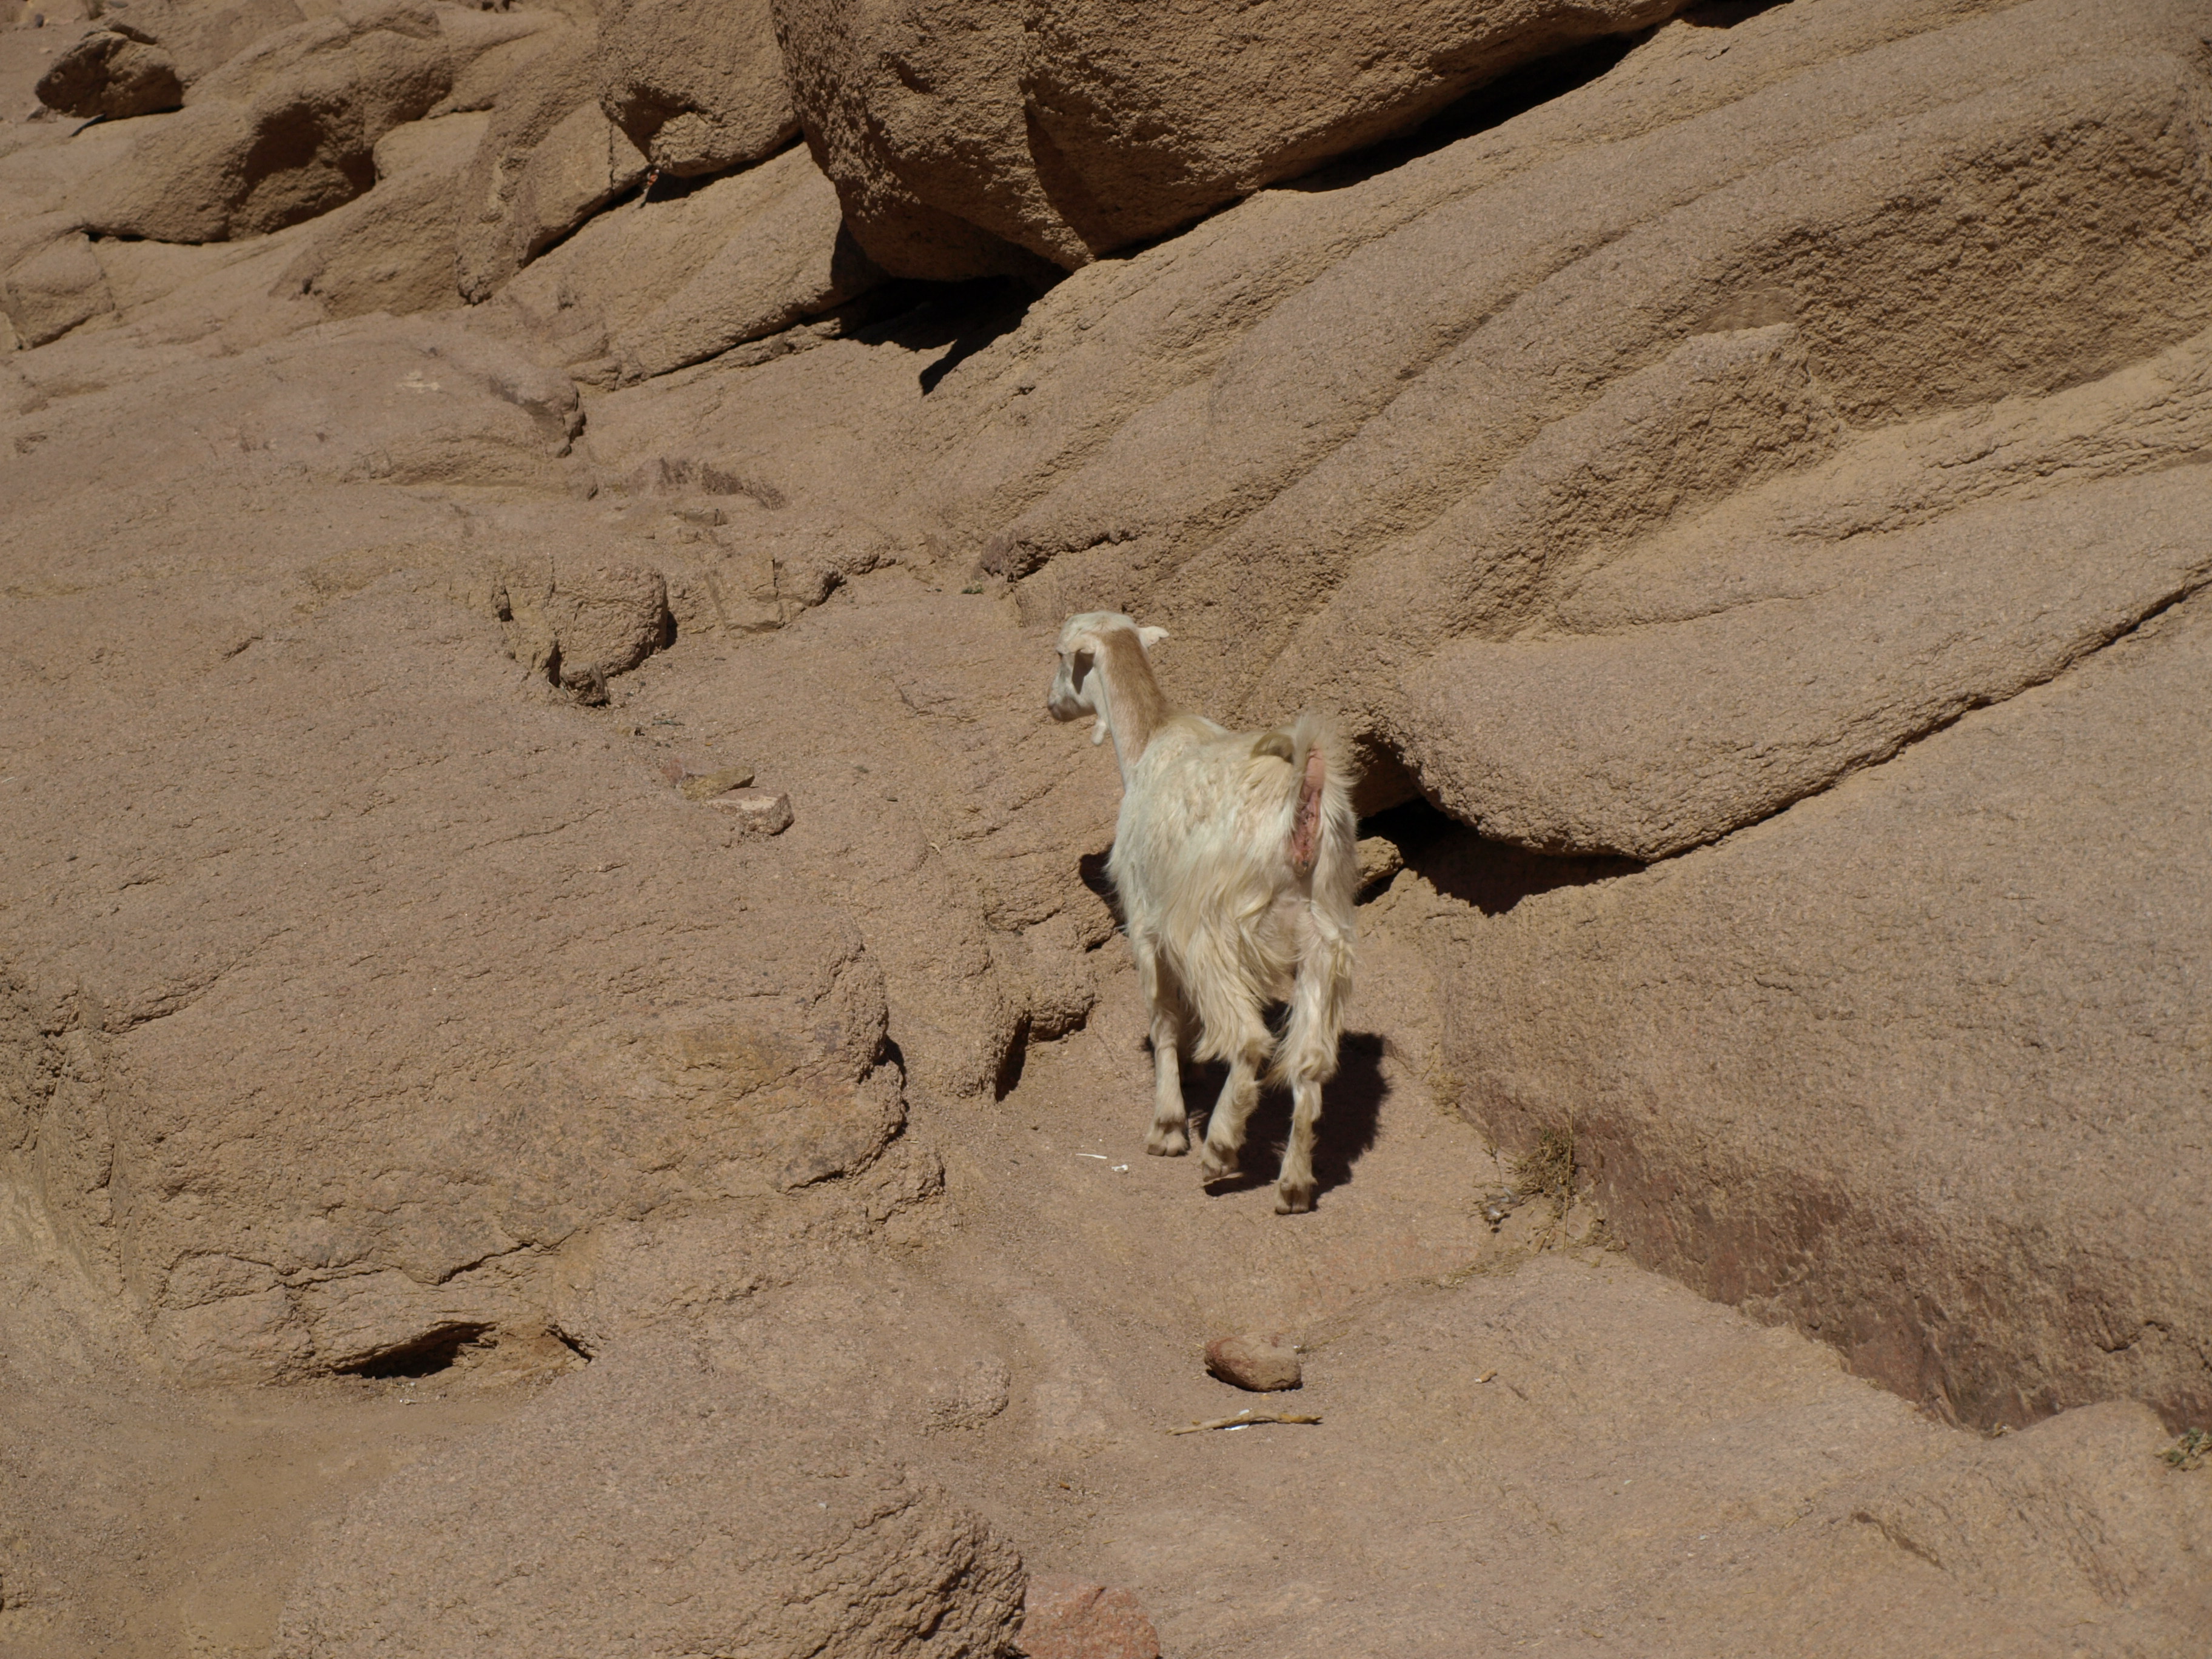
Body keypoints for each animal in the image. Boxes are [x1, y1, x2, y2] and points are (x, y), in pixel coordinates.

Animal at [1044, 619, 1353, 1212]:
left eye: (1060, 655)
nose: (1051, 705)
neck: (1149, 740)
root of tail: (1300, 805)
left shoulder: (1145, 919)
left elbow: (1163, 1018)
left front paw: (1167, 1127)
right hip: (1322, 939)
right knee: (1310, 1062)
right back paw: (1295, 1186)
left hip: (1211, 929)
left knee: (1250, 1040)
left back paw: (1220, 1149)